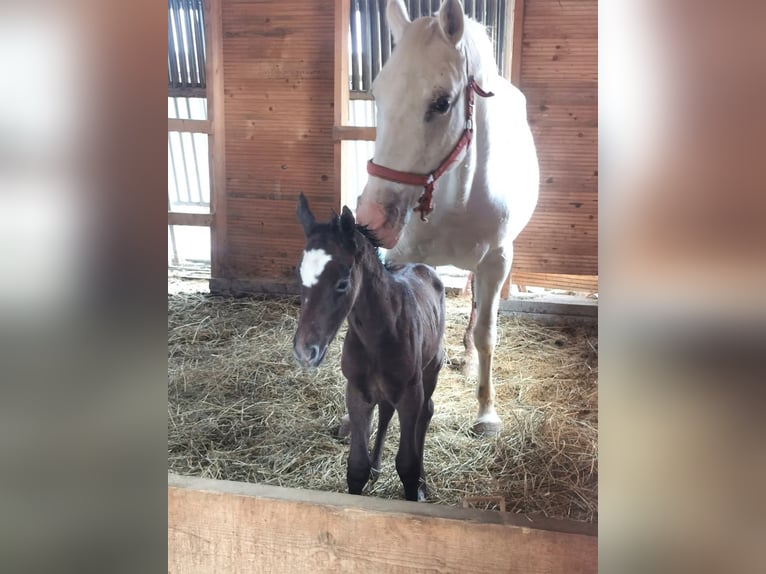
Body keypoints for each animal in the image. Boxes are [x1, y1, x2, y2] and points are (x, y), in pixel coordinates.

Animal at [356, 0, 540, 434]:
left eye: (441, 103)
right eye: (377, 93)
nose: (371, 218)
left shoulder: (496, 262)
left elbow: (488, 333)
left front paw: (486, 411)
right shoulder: (399, 259)